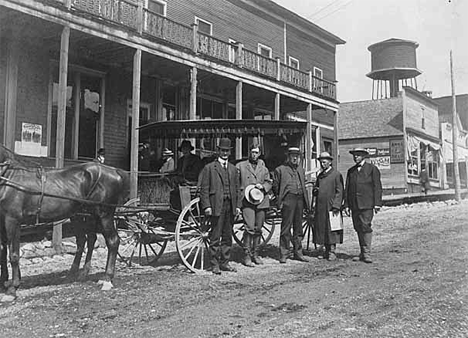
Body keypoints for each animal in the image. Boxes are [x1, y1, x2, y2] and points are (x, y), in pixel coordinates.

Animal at [0, 145, 129, 302]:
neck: (9, 177)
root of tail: (114, 171)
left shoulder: (12, 220)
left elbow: (13, 254)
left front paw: (12, 289)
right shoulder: (2, 221)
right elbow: (3, 252)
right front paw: (5, 283)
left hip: (104, 215)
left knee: (112, 241)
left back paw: (107, 279)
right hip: (86, 215)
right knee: (88, 240)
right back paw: (80, 273)